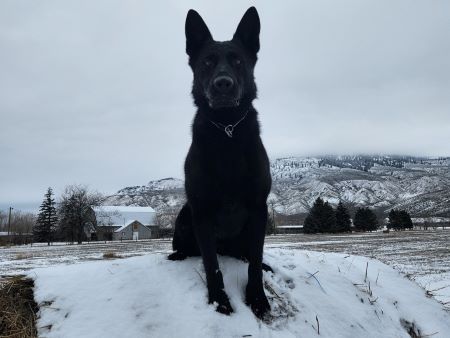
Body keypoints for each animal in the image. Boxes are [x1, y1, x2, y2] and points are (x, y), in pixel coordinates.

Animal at [168, 6, 270, 318]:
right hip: (184, 215)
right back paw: (177, 255)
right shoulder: (201, 211)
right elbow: (212, 265)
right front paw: (219, 300)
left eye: (237, 60)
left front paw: (257, 297)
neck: (227, 130)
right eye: (207, 62)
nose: (222, 84)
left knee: (249, 255)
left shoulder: (259, 208)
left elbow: (254, 262)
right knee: (194, 251)